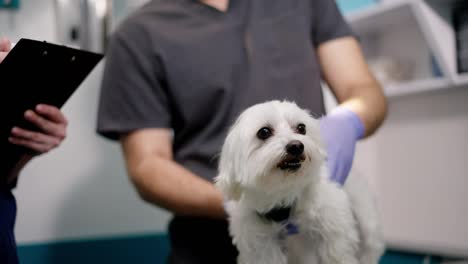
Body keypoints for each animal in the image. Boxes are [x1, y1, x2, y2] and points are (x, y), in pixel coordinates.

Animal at [215, 100, 384, 264]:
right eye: (264, 132)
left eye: (302, 128)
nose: (296, 146)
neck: (283, 192)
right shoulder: (259, 242)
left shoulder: (334, 224)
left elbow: (338, 254)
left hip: (366, 221)